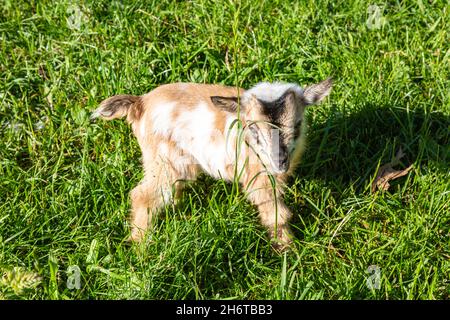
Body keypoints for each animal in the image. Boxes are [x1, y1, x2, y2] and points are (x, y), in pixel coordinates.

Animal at [92, 78, 330, 250]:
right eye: (253, 128)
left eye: (298, 125)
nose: (279, 161)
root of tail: (139, 103)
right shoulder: (258, 177)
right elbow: (276, 214)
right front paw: (289, 250)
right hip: (165, 160)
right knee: (142, 195)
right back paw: (141, 247)